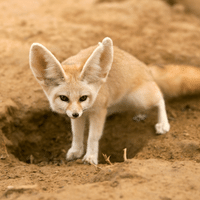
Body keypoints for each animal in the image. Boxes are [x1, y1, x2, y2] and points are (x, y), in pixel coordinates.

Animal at [28, 37, 200, 164]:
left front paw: (90, 157)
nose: (75, 114)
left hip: (139, 98)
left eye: (83, 98)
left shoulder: (98, 111)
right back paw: (140, 114)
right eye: (64, 98)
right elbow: (76, 134)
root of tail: (145, 67)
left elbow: (93, 136)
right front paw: (76, 151)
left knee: (159, 97)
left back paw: (163, 123)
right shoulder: (80, 115)